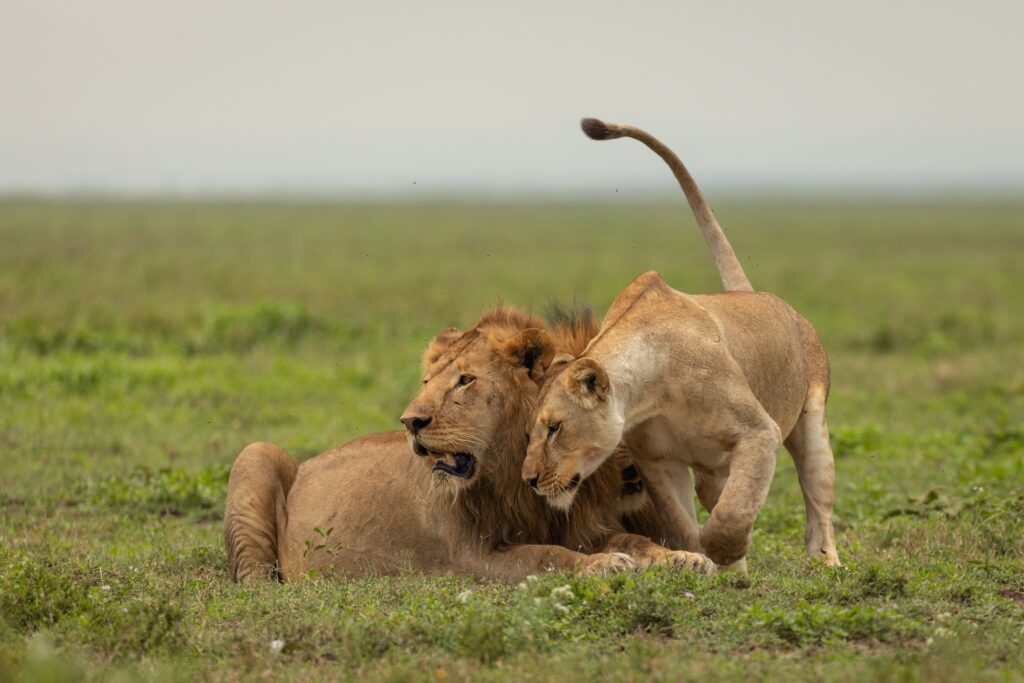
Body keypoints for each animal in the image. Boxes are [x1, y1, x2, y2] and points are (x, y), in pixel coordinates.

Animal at [224, 306, 711, 583]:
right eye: (427, 382)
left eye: (465, 381)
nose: (410, 421)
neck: (515, 472)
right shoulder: (469, 557)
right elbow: (543, 556)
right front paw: (600, 566)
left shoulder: (582, 526)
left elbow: (634, 539)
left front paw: (682, 558)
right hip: (256, 454)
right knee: (253, 575)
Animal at [520, 118, 840, 569]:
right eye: (529, 432)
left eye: (554, 428)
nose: (529, 480)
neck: (652, 392)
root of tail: (759, 296)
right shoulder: (657, 461)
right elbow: (680, 523)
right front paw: (697, 561)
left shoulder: (760, 432)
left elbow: (735, 511)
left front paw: (723, 551)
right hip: (711, 470)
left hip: (810, 424)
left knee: (817, 500)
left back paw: (824, 563)